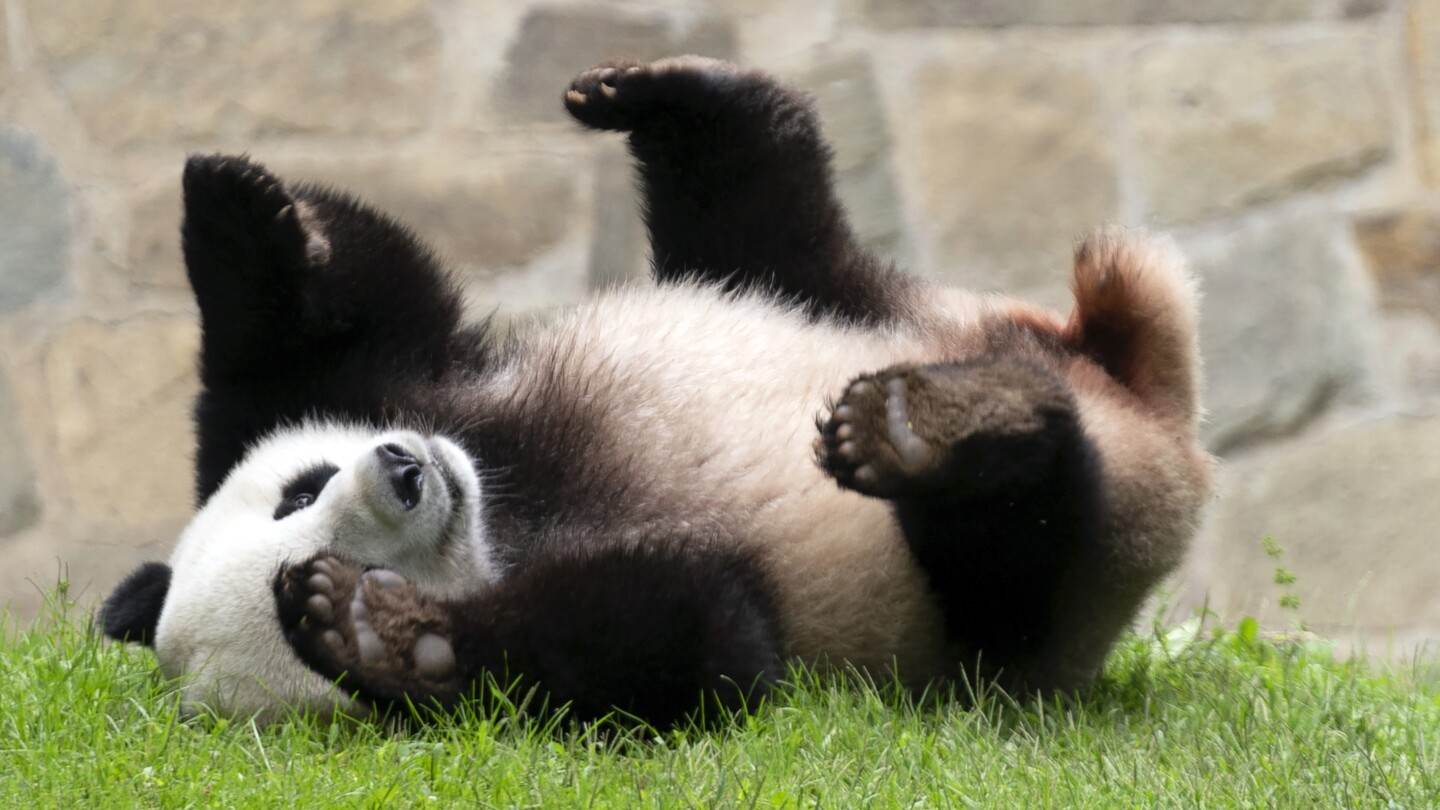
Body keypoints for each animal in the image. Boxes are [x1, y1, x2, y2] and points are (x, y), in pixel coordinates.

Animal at [95, 56, 1209, 726]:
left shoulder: (416, 388)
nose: (406, 471)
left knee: (767, 221)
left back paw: (672, 99)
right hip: (1024, 608)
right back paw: (938, 433)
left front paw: (235, 211)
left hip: (868, 303)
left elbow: (342, 324)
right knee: (1019, 547)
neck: (508, 508)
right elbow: (695, 646)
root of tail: (1146, 403)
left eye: (299, 490)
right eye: (330, 541)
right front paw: (383, 634)